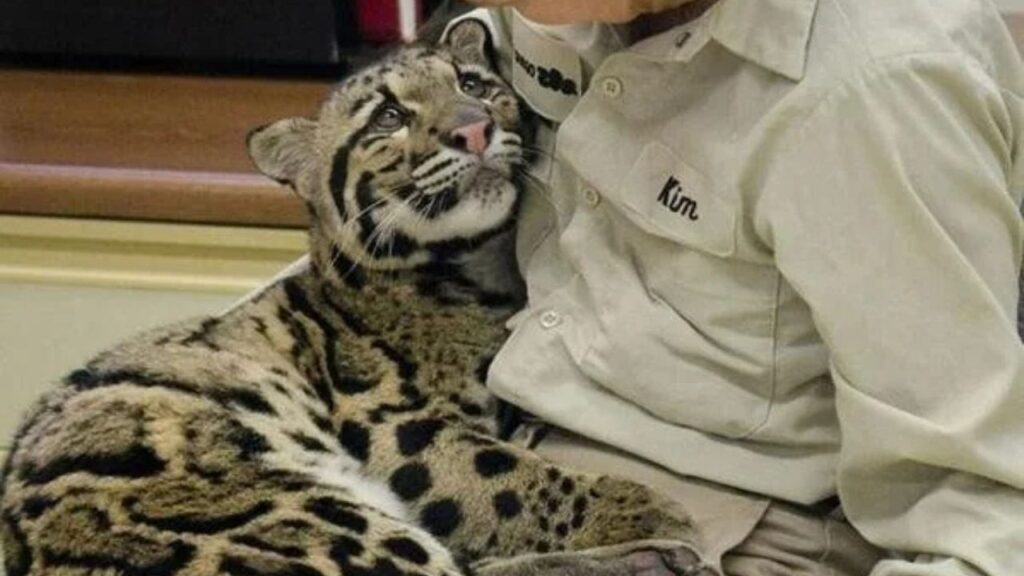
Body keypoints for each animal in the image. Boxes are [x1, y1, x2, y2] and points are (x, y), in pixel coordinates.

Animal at [0, 19, 703, 576]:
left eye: (473, 85)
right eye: (389, 117)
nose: (475, 129)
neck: (469, 267)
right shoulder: (390, 422)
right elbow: (511, 479)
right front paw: (645, 508)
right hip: (297, 510)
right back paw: (651, 553)